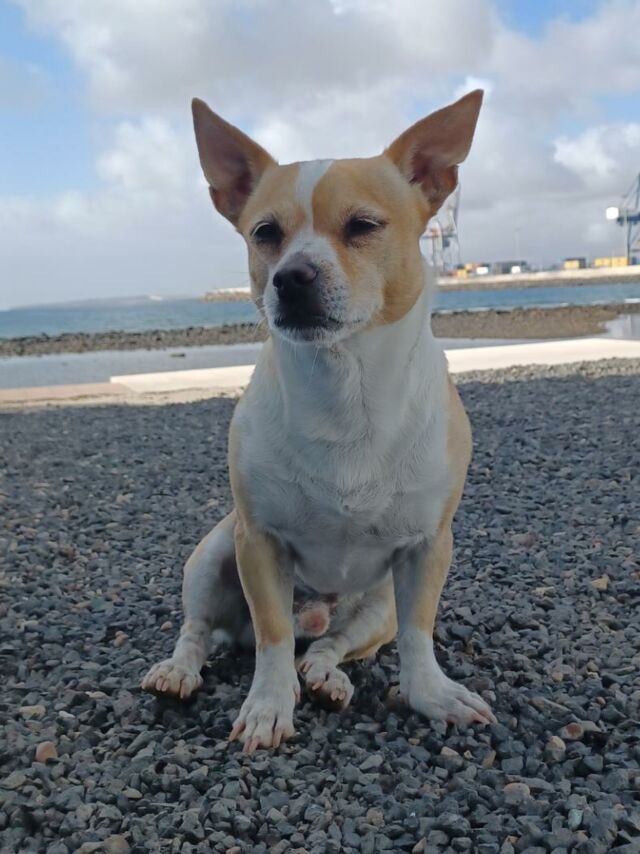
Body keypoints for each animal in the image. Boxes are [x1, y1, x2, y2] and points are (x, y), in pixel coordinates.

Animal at [142, 89, 496, 752]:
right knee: (204, 629)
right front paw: (268, 706)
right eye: (265, 233)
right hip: (211, 555)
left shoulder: (428, 549)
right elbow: (272, 638)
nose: (291, 276)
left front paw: (431, 696)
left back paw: (328, 676)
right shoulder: (258, 543)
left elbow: (419, 636)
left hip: (376, 606)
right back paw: (179, 671)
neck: (344, 385)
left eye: (363, 226)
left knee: (330, 645)